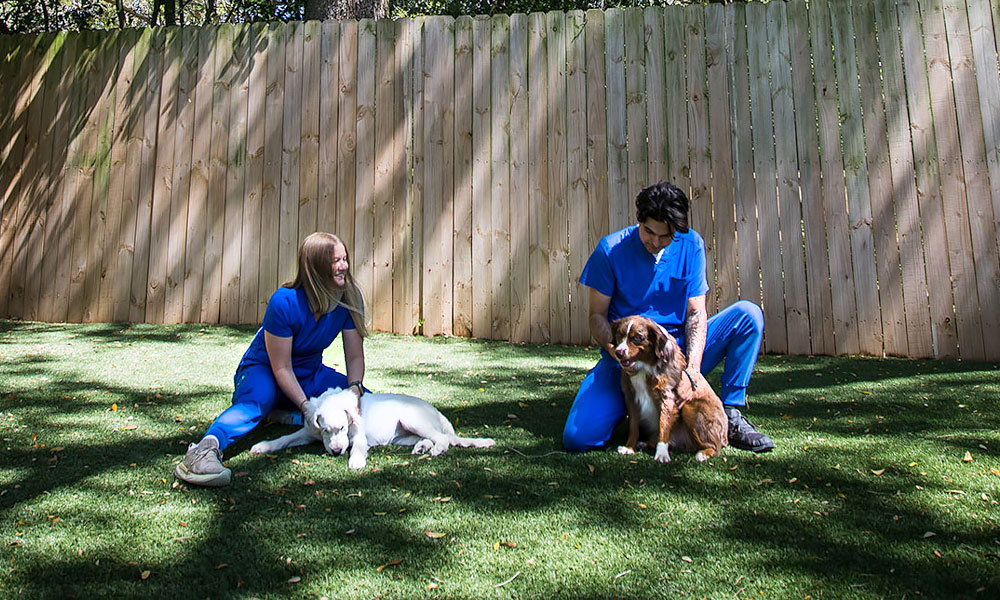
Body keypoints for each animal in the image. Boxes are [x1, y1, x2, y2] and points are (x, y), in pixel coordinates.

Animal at [248, 390, 494, 468]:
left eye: (343, 427)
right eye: (326, 430)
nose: (336, 452)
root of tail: (436, 410)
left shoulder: (359, 436)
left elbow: (357, 447)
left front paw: (356, 461)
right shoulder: (308, 431)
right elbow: (284, 439)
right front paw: (263, 446)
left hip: (412, 419)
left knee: (443, 438)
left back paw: (436, 449)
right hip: (402, 436)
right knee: (427, 438)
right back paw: (422, 448)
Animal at [608, 316, 728, 462]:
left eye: (637, 338)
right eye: (619, 335)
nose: (619, 353)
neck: (645, 366)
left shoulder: (667, 397)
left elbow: (663, 425)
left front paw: (661, 454)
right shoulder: (631, 397)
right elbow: (633, 426)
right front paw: (629, 447)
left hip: (691, 407)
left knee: (715, 447)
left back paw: (703, 453)